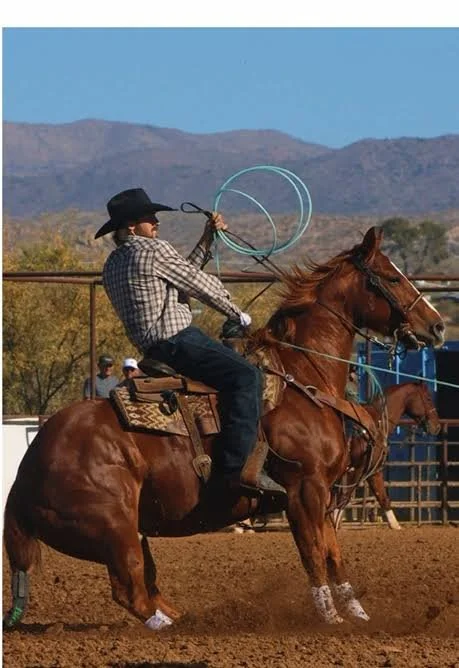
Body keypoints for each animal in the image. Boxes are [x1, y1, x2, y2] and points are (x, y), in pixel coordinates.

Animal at [333, 381, 441, 530]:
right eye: (429, 399)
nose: (437, 426)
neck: (375, 424)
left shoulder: (374, 471)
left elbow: (383, 498)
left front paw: (395, 525)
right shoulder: (357, 469)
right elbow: (343, 498)